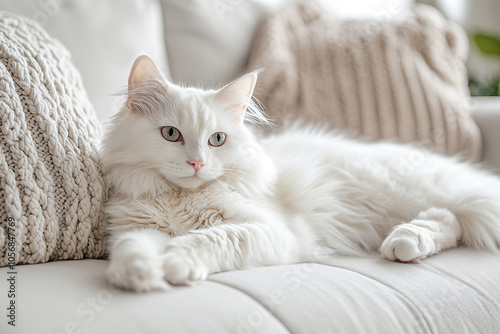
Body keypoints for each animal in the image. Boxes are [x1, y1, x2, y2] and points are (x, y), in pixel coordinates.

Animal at [101, 55, 500, 292]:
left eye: (217, 139)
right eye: (171, 134)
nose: (197, 163)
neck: (179, 199)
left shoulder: (268, 229)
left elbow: (207, 240)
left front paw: (175, 263)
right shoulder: (137, 228)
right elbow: (130, 249)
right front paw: (141, 274)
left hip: (406, 192)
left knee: (452, 215)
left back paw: (404, 243)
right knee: (449, 219)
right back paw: (404, 245)